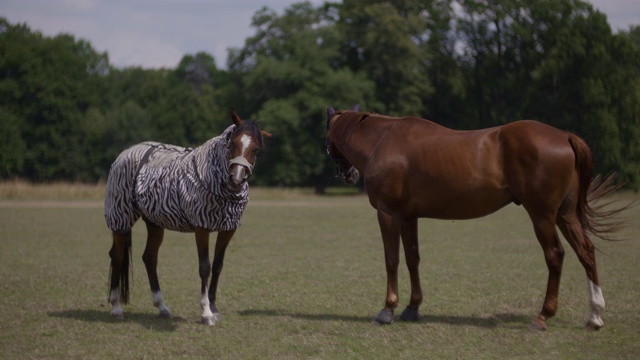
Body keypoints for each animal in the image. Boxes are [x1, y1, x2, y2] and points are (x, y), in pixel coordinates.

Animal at [103, 109, 272, 324]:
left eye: (255, 149)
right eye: (232, 143)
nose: (236, 179)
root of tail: (125, 154)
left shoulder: (228, 228)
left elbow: (218, 265)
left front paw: (214, 307)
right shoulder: (202, 226)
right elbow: (205, 267)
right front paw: (206, 312)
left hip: (154, 222)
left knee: (149, 258)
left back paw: (162, 307)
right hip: (121, 217)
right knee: (117, 256)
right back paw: (116, 307)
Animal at [324, 104, 624, 330]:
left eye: (326, 137)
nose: (348, 174)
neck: (383, 140)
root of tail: (564, 136)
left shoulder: (388, 214)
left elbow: (391, 260)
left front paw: (387, 309)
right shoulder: (409, 217)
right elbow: (412, 259)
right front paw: (412, 307)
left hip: (542, 215)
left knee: (555, 255)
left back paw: (542, 316)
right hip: (565, 214)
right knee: (585, 251)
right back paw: (595, 316)